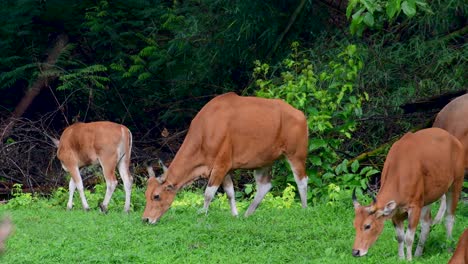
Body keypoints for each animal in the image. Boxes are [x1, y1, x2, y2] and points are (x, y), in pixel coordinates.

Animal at [143, 92, 310, 224]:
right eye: (146, 195)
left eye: (156, 196)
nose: (145, 219)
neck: (206, 130)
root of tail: (300, 115)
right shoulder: (225, 169)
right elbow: (230, 193)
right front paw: (235, 215)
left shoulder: (221, 165)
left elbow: (208, 194)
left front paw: (202, 214)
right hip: (263, 161)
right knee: (265, 185)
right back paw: (248, 213)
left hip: (296, 155)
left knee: (301, 181)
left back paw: (304, 209)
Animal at [352, 127, 464, 260]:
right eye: (354, 225)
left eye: (367, 226)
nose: (355, 252)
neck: (400, 172)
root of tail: (454, 140)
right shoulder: (396, 212)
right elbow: (400, 237)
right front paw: (401, 258)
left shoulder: (414, 207)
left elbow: (409, 238)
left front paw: (409, 259)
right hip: (427, 199)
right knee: (427, 223)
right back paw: (418, 254)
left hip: (456, 184)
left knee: (449, 219)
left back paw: (448, 248)